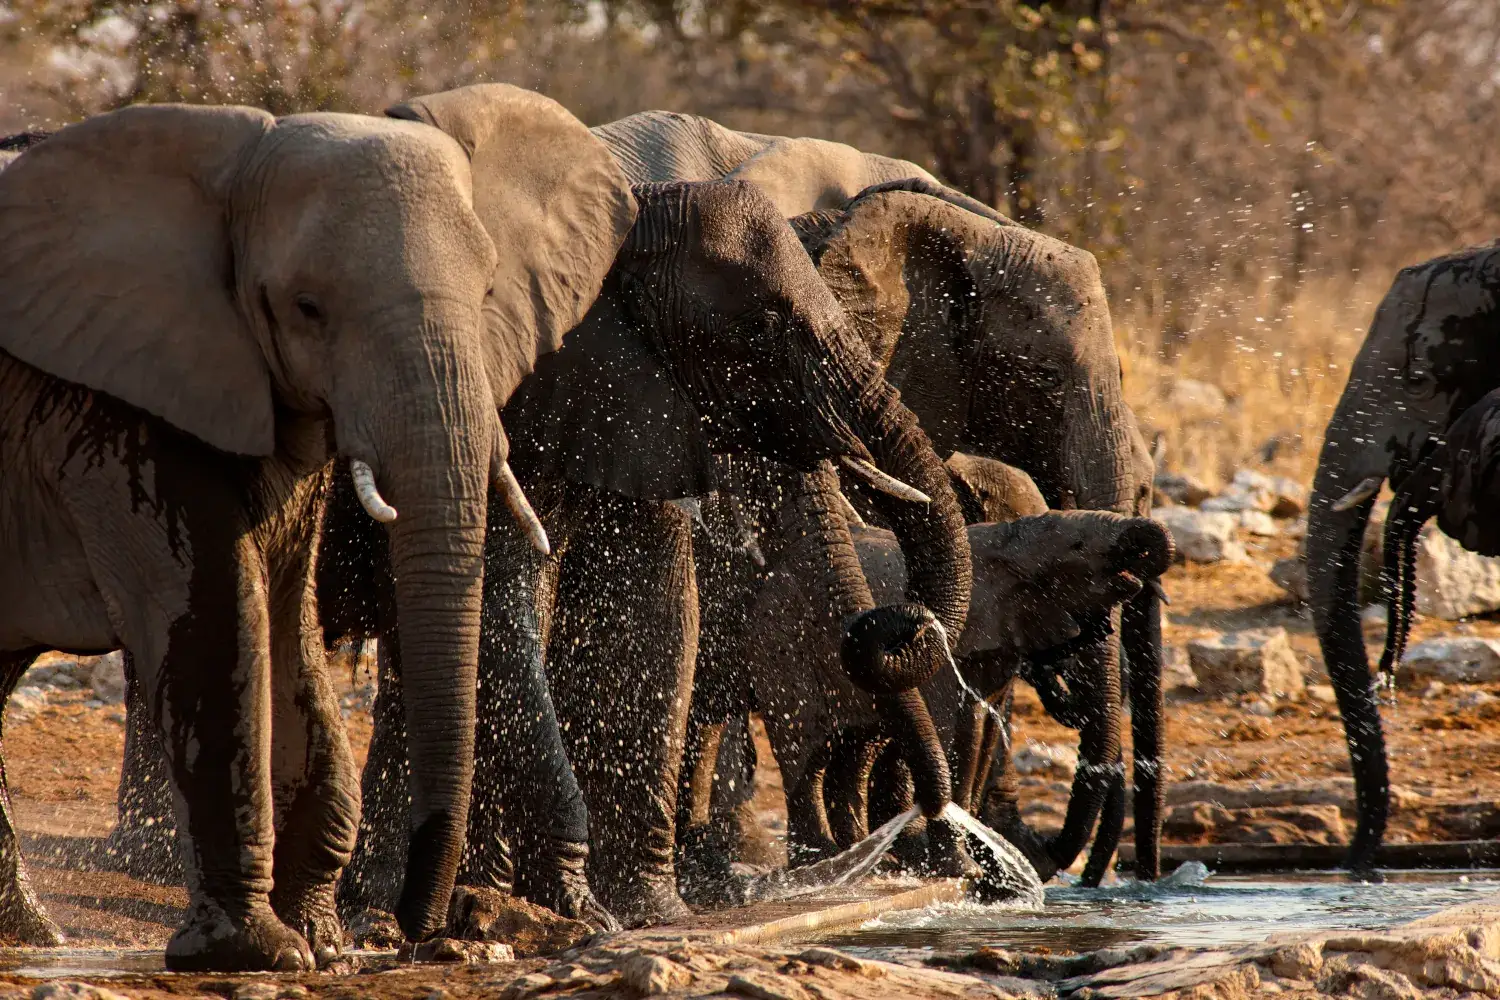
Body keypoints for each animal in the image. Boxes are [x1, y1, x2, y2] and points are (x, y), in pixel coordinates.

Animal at [0, 83, 635, 969]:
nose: (423, 929)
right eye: (307, 309)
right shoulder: (122, 410)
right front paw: (259, 950)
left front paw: (325, 943)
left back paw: (31, 934)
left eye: (487, 296)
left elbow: (288, 632)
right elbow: (217, 632)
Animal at [331, 177, 973, 930]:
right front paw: (584, 910)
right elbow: (500, 602)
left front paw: (647, 914)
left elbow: (646, 610)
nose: (903, 623)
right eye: (760, 330)